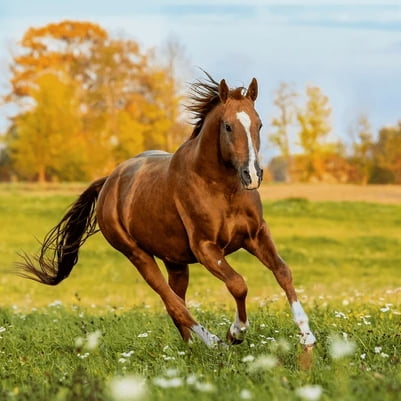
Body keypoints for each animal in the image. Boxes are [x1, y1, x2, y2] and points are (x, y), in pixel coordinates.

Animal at [19, 72, 316, 346]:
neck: (222, 188)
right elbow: (238, 284)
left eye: (259, 124)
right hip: (138, 255)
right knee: (172, 302)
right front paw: (235, 332)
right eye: (228, 126)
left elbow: (283, 272)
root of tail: (109, 182)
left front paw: (307, 335)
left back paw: (190, 346)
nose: (252, 175)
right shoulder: (206, 248)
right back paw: (213, 343)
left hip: (175, 261)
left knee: (176, 301)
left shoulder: (255, 235)